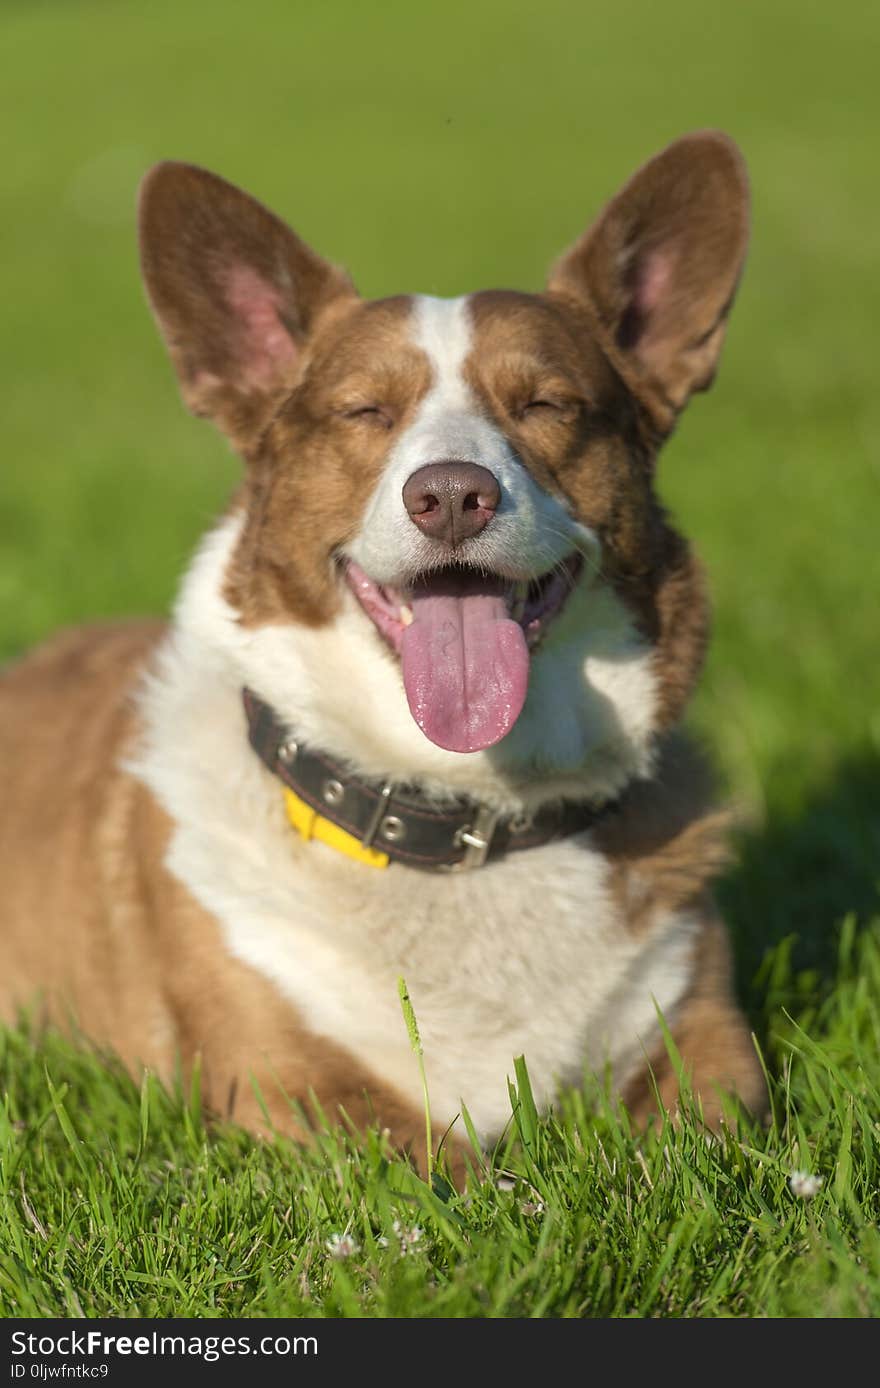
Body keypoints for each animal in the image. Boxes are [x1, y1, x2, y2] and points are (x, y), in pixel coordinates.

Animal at [0, 130, 760, 1177]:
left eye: (546, 404)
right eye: (364, 412)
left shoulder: (707, 1037)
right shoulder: (288, 1086)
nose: (452, 496)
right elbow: (456, 1171)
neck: (463, 810)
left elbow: (700, 1144)